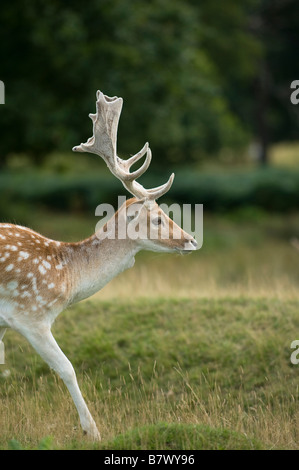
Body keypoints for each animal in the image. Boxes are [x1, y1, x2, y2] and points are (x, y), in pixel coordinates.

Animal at [0, 92, 199, 440]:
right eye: (158, 218)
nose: (190, 239)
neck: (66, 275)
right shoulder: (29, 314)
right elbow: (66, 368)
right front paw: (92, 431)